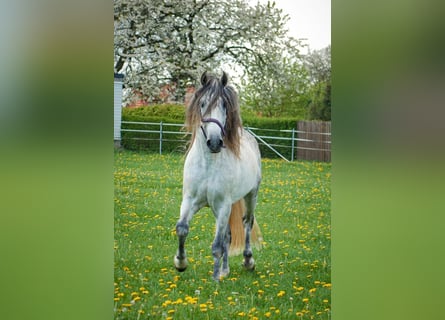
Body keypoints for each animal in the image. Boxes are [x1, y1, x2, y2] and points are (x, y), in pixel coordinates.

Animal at [173, 72, 262, 280]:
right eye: (202, 103)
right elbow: (182, 228)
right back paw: (225, 270)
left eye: (224, 105)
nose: (214, 142)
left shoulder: (223, 205)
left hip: (250, 196)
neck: (208, 164)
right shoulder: (191, 200)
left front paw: (214, 279)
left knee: (247, 223)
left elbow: (216, 246)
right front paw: (180, 263)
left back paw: (248, 261)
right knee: (228, 235)